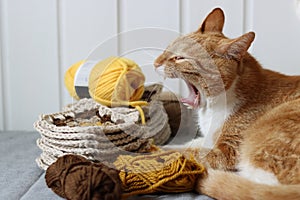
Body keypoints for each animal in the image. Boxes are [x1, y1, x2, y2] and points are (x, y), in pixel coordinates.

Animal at [155, 7, 300, 200]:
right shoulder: (207, 139)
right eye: (168, 49)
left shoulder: (227, 153)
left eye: (179, 57)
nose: (155, 63)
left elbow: (184, 152)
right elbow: (187, 144)